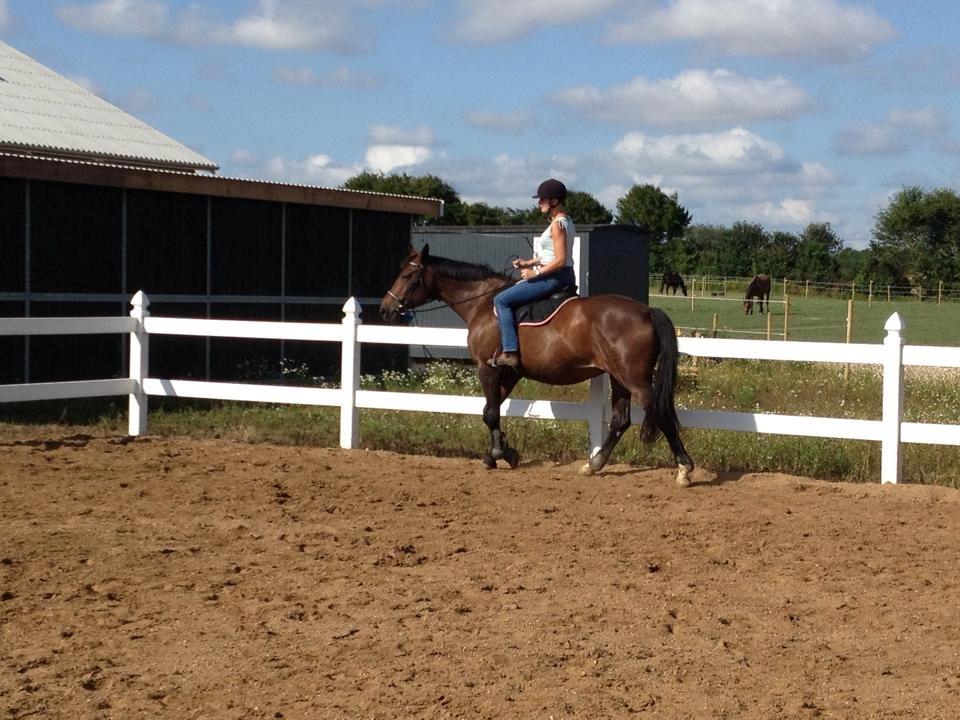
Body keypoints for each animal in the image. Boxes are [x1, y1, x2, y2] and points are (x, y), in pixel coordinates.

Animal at [378, 245, 692, 486]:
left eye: (407, 274)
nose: (385, 309)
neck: (484, 303)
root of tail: (646, 310)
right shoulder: (510, 372)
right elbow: (491, 410)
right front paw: (502, 451)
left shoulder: (487, 368)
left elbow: (490, 413)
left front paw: (498, 454)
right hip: (619, 378)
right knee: (620, 421)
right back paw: (594, 464)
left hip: (635, 380)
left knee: (661, 416)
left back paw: (684, 469)